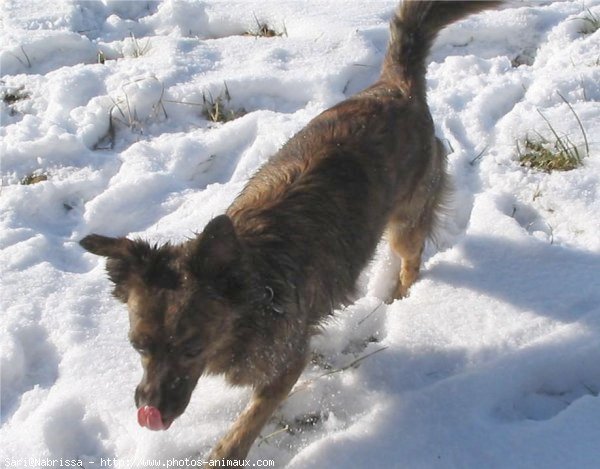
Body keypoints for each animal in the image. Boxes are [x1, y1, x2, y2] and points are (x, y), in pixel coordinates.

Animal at [81, 0, 502, 460]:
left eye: (192, 348)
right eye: (138, 346)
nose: (149, 409)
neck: (253, 288)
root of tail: (396, 85)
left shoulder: (287, 361)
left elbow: (247, 425)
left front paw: (225, 452)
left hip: (406, 222)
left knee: (413, 258)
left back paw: (399, 296)